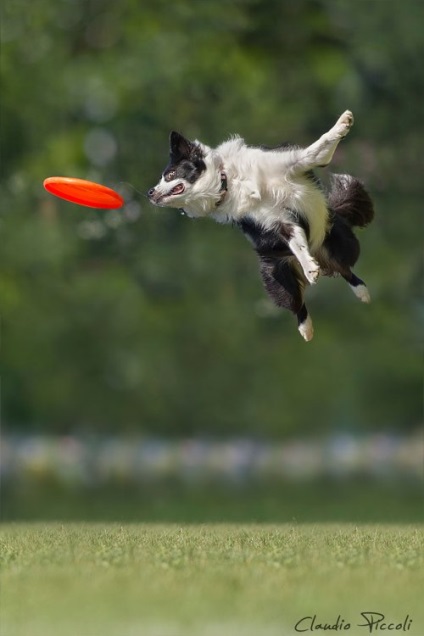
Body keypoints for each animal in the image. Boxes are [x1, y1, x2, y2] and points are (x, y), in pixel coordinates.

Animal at [148, 113, 374, 342]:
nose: (150, 193)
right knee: (297, 302)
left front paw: (343, 123)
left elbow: (317, 148)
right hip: (276, 272)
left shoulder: (294, 163)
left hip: (339, 242)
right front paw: (310, 269)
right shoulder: (276, 222)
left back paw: (361, 291)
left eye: (170, 174)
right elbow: (296, 244)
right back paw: (306, 329)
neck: (229, 182)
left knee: (344, 267)